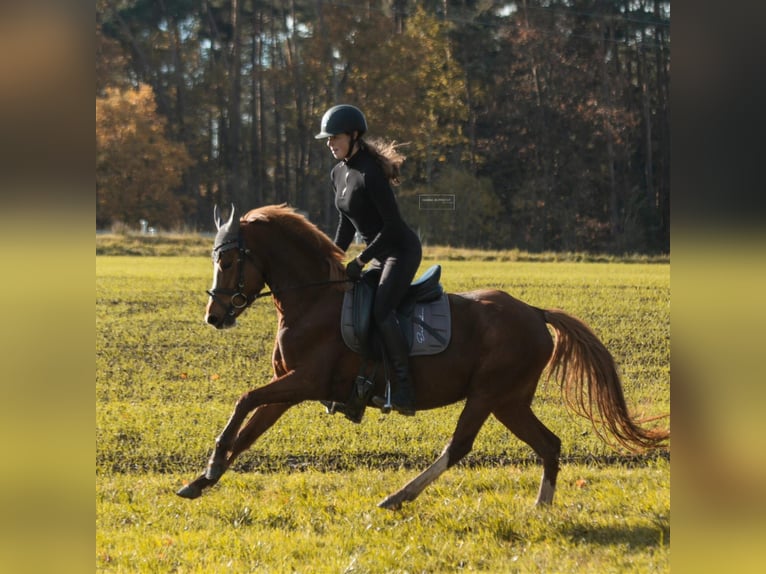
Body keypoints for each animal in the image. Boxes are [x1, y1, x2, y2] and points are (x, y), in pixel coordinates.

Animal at [177, 205, 668, 510]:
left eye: (228, 261)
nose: (214, 316)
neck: (311, 300)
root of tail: (534, 312)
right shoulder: (289, 389)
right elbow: (249, 430)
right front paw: (203, 479)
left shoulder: (307, 381)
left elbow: (243, 399)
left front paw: (212, 461)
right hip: (510, 401)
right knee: (549, 444)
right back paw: (541, 507)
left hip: (489, 394)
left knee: (460, 446)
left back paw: (398, 497)